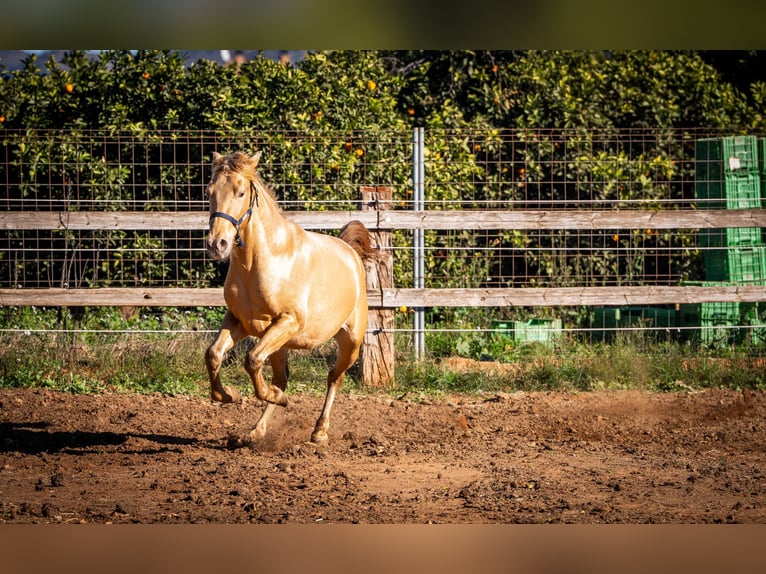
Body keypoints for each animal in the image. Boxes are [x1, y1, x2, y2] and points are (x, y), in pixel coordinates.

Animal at [202, 150, 374, 446]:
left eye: (240, 192)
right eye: (210, 191)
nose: (217, 244)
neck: (262, 260)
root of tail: (350, 253)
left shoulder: (288, 322)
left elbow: (251, 360)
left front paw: (274, 398)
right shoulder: (239, 321)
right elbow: (214, 355)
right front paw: (230, 395)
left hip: (350, 342)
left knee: (334, 377)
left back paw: (319, 431)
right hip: (279, 345)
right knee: (281, 378)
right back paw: (256, 430)